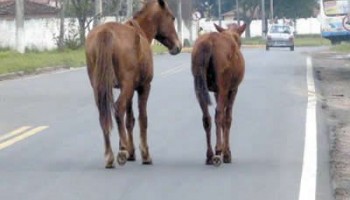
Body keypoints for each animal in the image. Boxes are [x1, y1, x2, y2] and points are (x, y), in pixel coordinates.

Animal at [86, 0, 182, 168]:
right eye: (172, 17)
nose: (177, 46)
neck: (141, 32)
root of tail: (105, 32)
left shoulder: (129, 89)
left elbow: (129, 120)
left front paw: (132, 152)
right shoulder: (143, 87)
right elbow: (143, 118)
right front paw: (144, 153)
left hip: (100, 87)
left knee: (104, 115)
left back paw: (109, 155)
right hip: (128, 86)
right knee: (118, 109)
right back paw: (122, 151)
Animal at [191, 23, 246, 166]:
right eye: (240, 41)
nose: (239, 45)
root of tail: (208, 43)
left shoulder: (215, 91)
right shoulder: (232, 89)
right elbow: (228, 118)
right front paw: (227, 153)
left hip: (199, 85)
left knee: (206, 117)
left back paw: (209, 155)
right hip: (223, 84)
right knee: (218, 114)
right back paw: (218, 151)